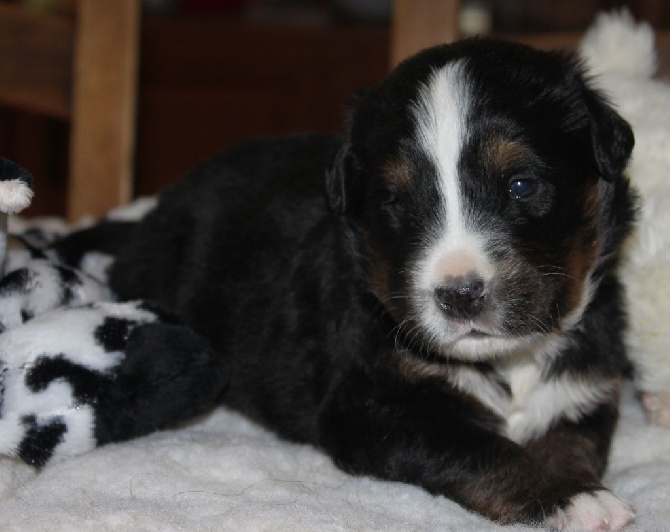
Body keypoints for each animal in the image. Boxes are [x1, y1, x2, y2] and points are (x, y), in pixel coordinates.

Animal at [61, 38, 640, 528]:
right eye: (397, 203)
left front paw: (574, 485)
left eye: (521, 185)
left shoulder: (587, 386)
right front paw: (570, 499)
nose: (459, 295)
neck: (508, 362)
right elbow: (476, 447)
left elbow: (569, 441)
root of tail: (159, 207)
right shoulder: (369, 404)